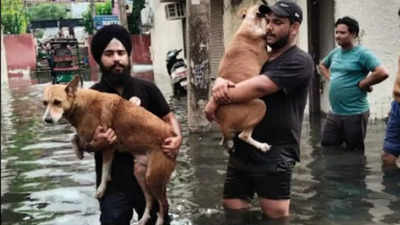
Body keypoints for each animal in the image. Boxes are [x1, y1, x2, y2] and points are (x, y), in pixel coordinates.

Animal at [41, 76, 177, 225]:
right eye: (45, 103)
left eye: (57, 102)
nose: (47, 120)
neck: (80, 104)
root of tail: (172, 135)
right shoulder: (91, 138)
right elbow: (75, 137)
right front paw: (78, 151)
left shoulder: (108, 144)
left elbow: (105, 170)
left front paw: (101, 188)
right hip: (140, 174)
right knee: (150, 200)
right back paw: (144, 219)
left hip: (153, 178)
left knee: (164, 204)